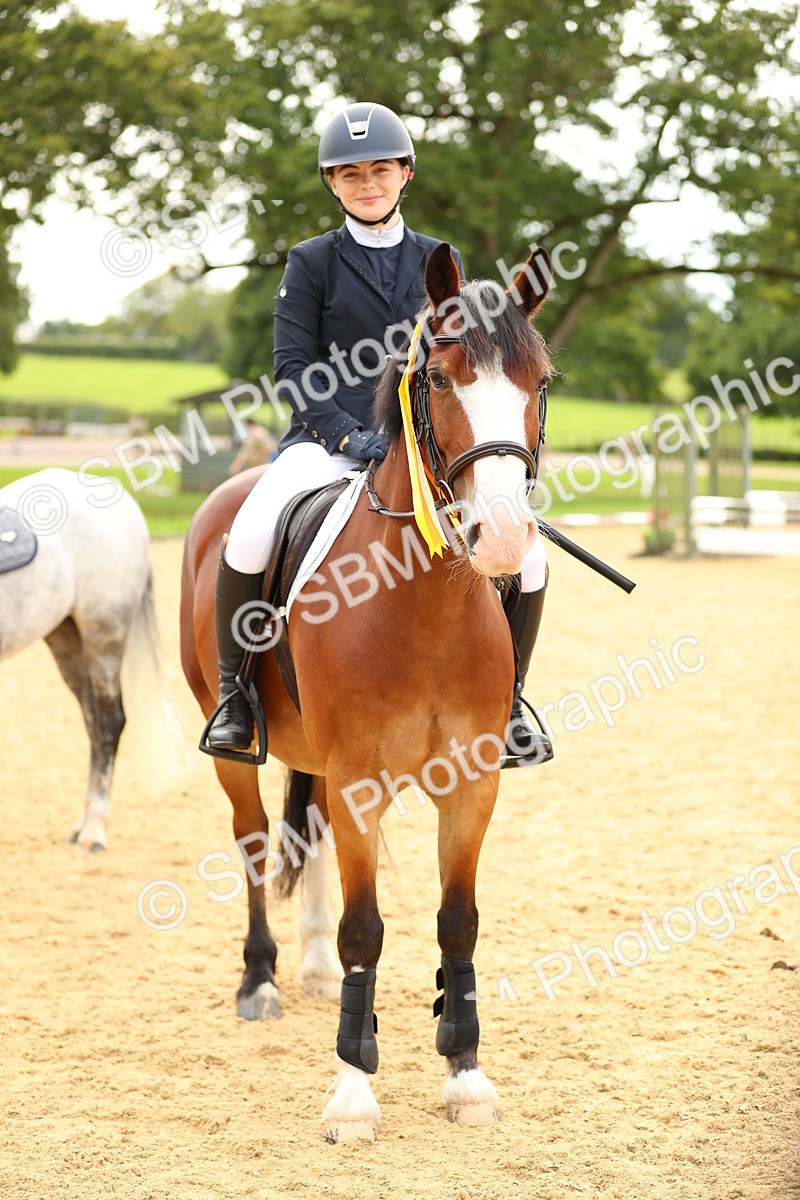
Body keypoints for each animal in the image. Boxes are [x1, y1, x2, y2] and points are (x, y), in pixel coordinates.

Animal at [0, 467, 159, 850]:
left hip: (104, 638)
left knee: (109, 724)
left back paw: (94, 829)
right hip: (67, 641)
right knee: (92, 723)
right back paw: (82, 823)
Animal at [180, 243, 554, 1141]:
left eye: (542, 382)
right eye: (442, 378)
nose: (505, 537)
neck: (426, 602)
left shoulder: (472, 784)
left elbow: (458, 921)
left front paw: (465, 1072)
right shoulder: (360, 778)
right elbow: (365, 929)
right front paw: (352, 1090)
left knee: (306, 832)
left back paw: (311, 966)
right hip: (234, 746)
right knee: (254, 844)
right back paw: (263, 981)